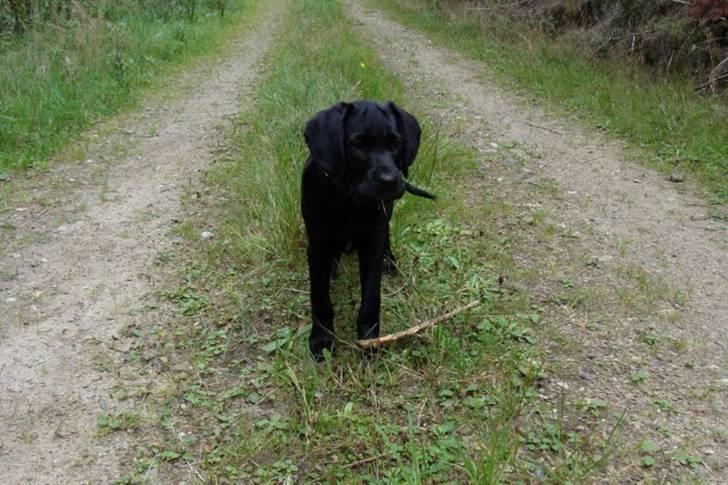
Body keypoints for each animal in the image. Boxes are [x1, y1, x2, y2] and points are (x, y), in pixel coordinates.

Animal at [300, 101, 432, 360]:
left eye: (396, 143)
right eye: (357, 145)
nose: (390, 180)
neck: (350, 201)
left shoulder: (372, 246)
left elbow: (371, 299)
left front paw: (370, 341)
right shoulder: (318, 249)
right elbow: (320, 299)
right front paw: (321, 339)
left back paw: (389, 261)